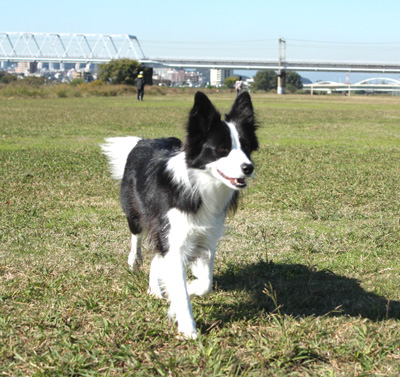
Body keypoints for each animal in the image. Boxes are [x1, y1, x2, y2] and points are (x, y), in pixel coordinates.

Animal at [101, 92, 260, 338]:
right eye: (221, 148)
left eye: (246, 147)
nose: (248, 168)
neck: (201, 185)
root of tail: (143, 140)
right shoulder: (174, 237)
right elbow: (181, 290)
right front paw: (188, 328)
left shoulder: (204, 238)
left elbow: (206, 284)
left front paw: (191, 287)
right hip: (137, 213)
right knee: (136, 237)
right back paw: (135, 261)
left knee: (157, 257)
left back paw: (155, 288)